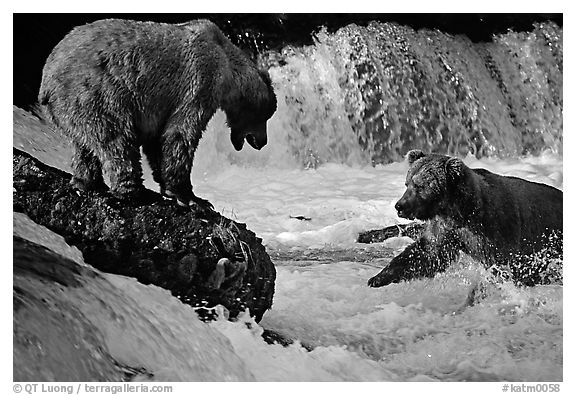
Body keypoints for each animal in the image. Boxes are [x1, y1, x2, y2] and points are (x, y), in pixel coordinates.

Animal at [38, 18, 276, 209]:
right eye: (266, 116)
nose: (262, 142)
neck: (228, 73)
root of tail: (47, 76)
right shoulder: (199, 84)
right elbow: (181, 134)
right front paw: (190, 197)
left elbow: (157, 139)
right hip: (96, 92)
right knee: (115, 139)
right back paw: (131, 192)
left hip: (67, 107)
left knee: (84, 144)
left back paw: (86, 182)